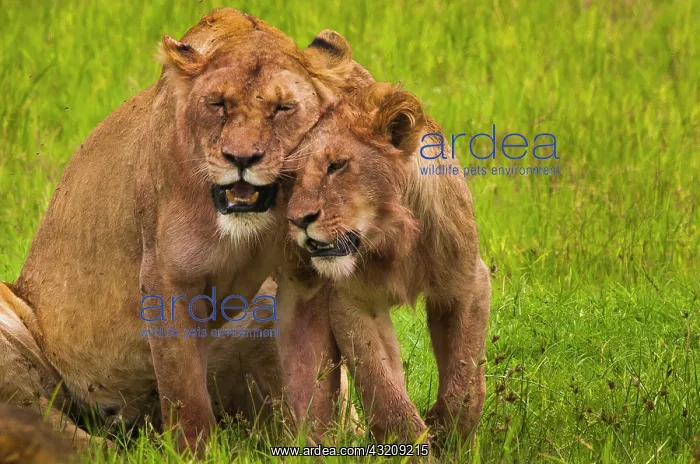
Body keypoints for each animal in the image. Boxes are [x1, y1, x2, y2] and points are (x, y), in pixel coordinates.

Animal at [2, 8, 372, 454]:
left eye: (283, 108)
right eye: (218, 105)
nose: (242, 158)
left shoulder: (304, 279)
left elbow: (315, 379)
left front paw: (320, 443)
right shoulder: (166, 275)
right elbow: (184, 389)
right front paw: (197, 453)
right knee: (59, 424)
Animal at [282, 82, 492, 445]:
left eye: (337, 166)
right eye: (293, 176)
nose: (298, 220)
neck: (393, 240)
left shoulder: (467, 284)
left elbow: (464, 376)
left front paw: (451, 435)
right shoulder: (351, 300)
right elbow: (382, 388)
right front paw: (412, 445)